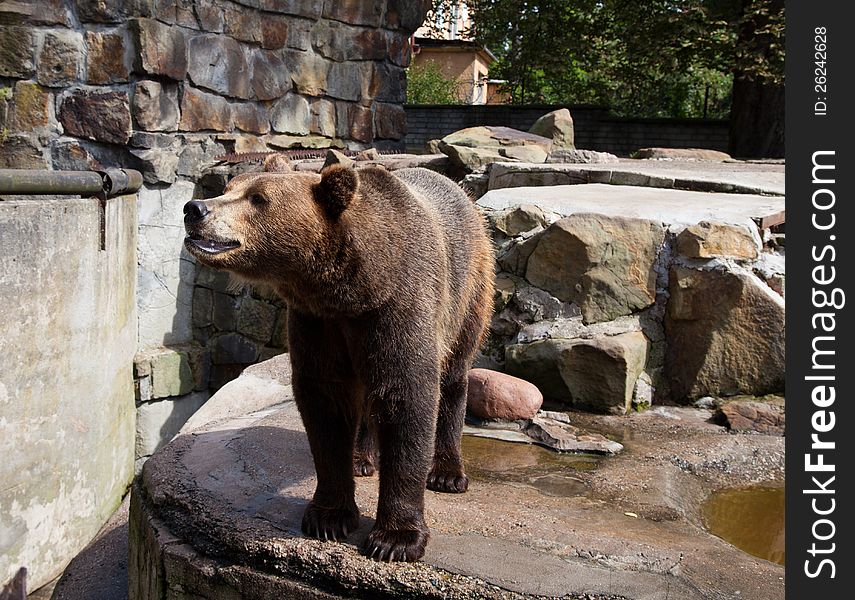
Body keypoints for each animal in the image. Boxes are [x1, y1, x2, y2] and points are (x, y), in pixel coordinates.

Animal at [182, 161, 494, 564]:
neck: (353, 289)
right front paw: (329, 517)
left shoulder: (401, 306)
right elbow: (325, 404)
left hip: (469, 287)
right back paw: (361, 458)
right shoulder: (318, 322)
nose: (195, 209)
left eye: (258, 198)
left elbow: (406, 396)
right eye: (229, 187)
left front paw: (396, 539)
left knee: (455, 374)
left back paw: (447, 472)